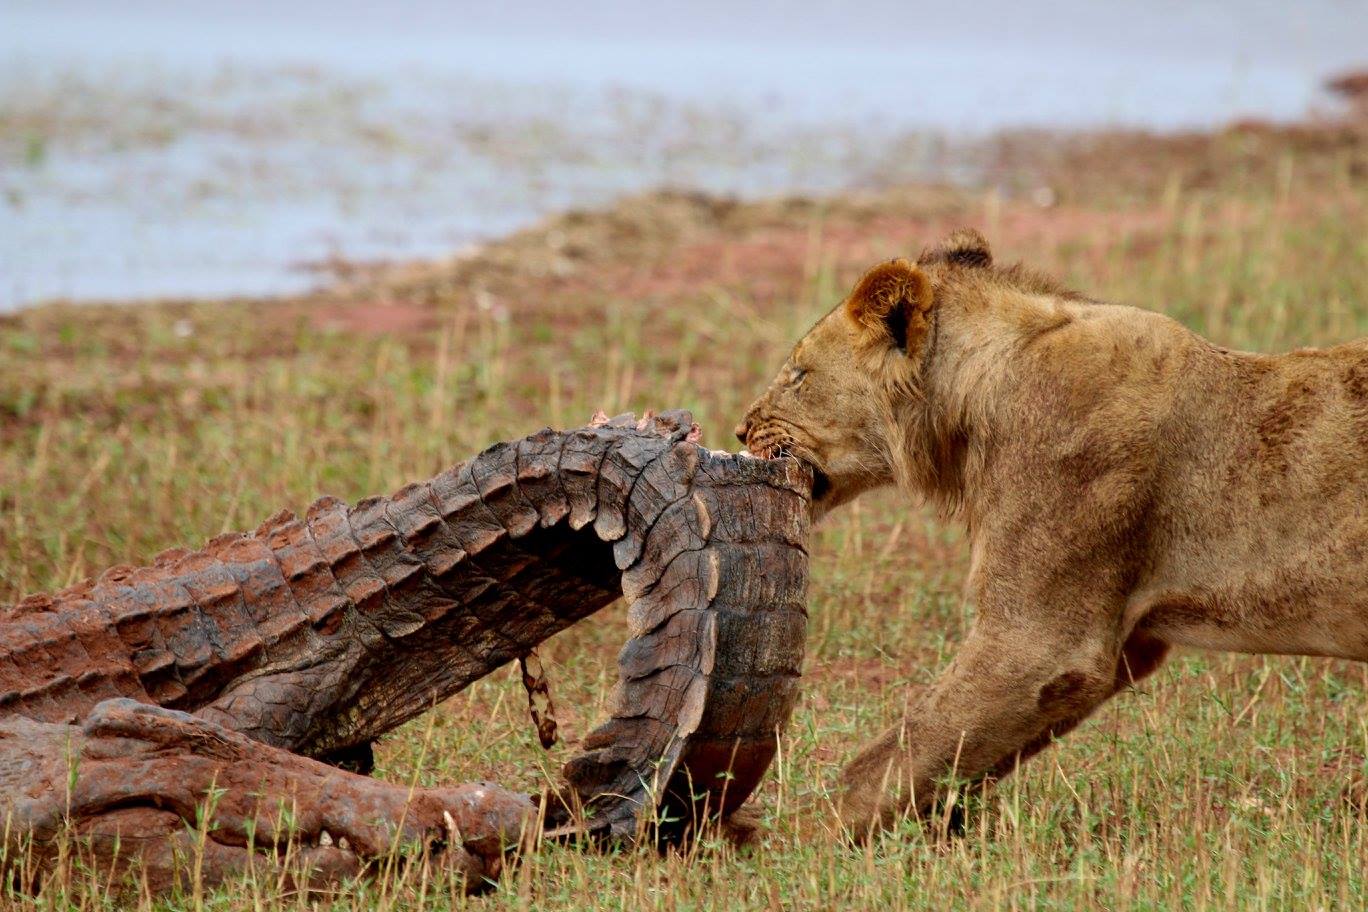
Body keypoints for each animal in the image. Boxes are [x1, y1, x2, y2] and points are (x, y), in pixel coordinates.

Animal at [738, 229, 1368, 842]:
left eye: (798, 374)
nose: (742, 428)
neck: (976, 399)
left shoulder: (1041, 641)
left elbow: (903, 749)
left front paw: (781, 837)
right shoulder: (1124, 642)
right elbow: (959, 755)